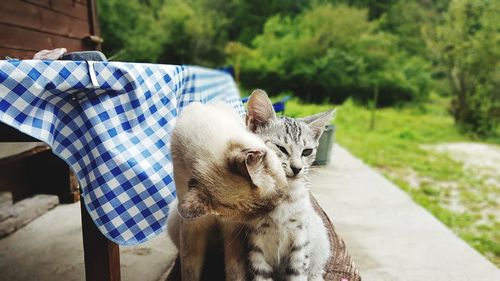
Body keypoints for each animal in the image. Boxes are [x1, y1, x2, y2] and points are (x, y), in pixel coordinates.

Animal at [245, 90, 334, 280]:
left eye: (307, 151)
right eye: (281, 148)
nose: (297, 168)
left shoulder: (301, 241)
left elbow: (298, 273)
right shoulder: (255, 245)